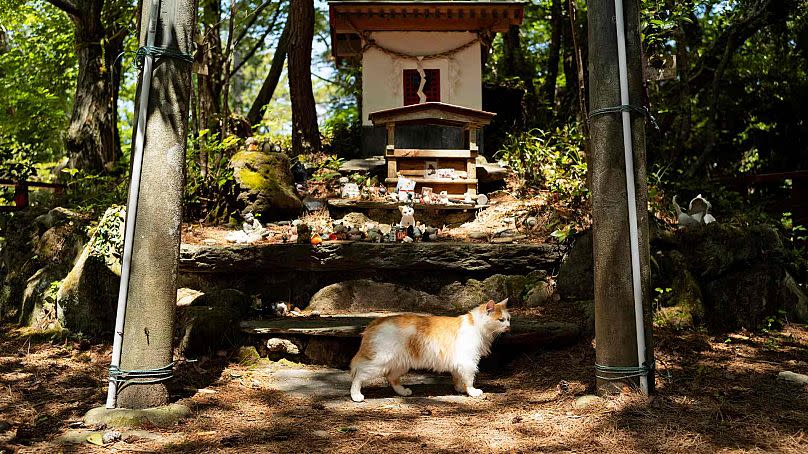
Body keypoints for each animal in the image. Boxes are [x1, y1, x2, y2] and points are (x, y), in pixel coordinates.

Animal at [348, 300, 512, 402]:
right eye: (501, 320)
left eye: (508, 319)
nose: (509, 327)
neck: (477, 325)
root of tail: (377, 321)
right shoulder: (468, 362)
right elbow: (469, 380)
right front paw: (472, 392)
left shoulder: (459, 363)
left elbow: (458, 377)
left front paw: (459, 388)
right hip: (380, 362)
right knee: (359, 375)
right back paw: (356, 395)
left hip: (400, 364)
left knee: (391, 378)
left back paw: (403, 392)